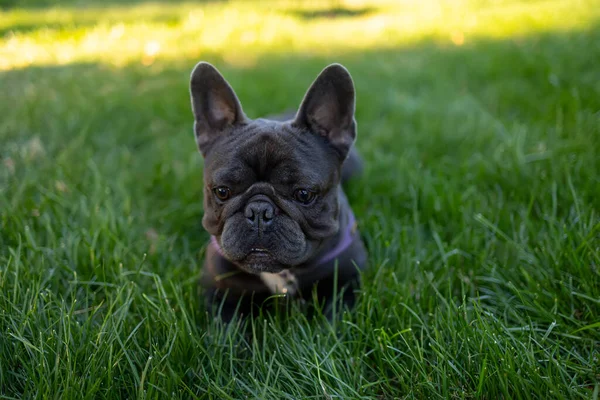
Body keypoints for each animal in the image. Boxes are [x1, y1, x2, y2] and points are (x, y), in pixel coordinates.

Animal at [190, 61, 368, 322]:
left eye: (304, 194)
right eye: (222, 191)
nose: (259, 211)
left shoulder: (344, 284)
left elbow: (334, 319)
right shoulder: (222, 294)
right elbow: (230, 326)